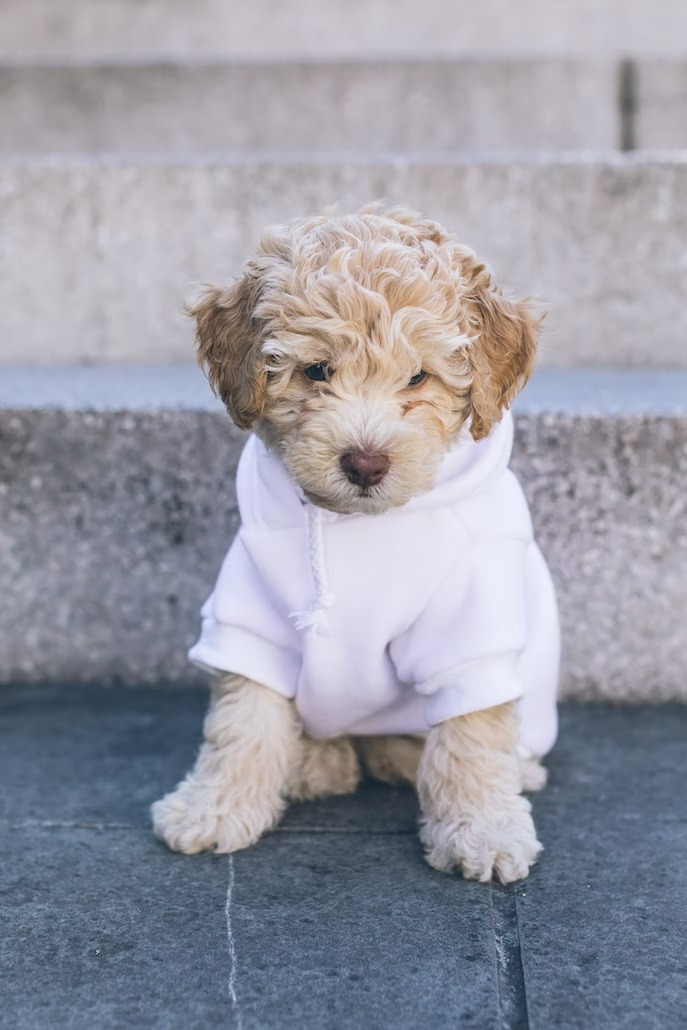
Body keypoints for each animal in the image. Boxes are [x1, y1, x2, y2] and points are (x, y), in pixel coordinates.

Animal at [151, 204, 560, 881]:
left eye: (418, 376)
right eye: (317, 370)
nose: (365, 462)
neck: (360, 523)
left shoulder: (471, 630)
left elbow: (473, 731)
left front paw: (483, 830)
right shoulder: (251, 617)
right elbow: (243, 718)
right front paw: (213, 807)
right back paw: (316, 762)